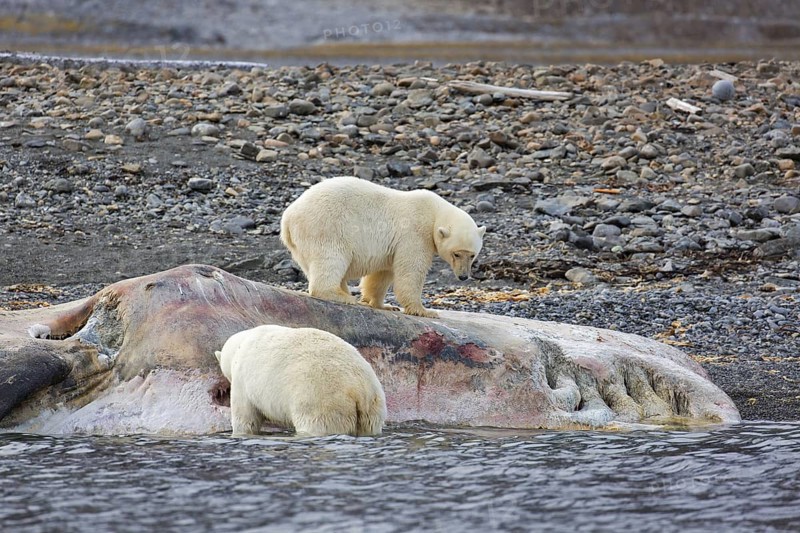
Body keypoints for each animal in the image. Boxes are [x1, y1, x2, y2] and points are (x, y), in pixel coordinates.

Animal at [214, 325, 386, 437]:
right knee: (369, 426)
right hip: (373, 406)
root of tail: (358, 389)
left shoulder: (243, 379)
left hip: (321, 400)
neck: (240, 346)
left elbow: (245, 417)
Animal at [280, 176, 486, 318]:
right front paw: (425, 310)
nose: (463, 276)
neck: (434, 212)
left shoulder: (393, 246)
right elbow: (411, 271)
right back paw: (342, 296)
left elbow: (383, 274)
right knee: (331, 259)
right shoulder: (415, 234)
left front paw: (383, 304)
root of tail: (287, 218)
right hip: (326, 228)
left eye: (472, 255)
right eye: (456, 254)